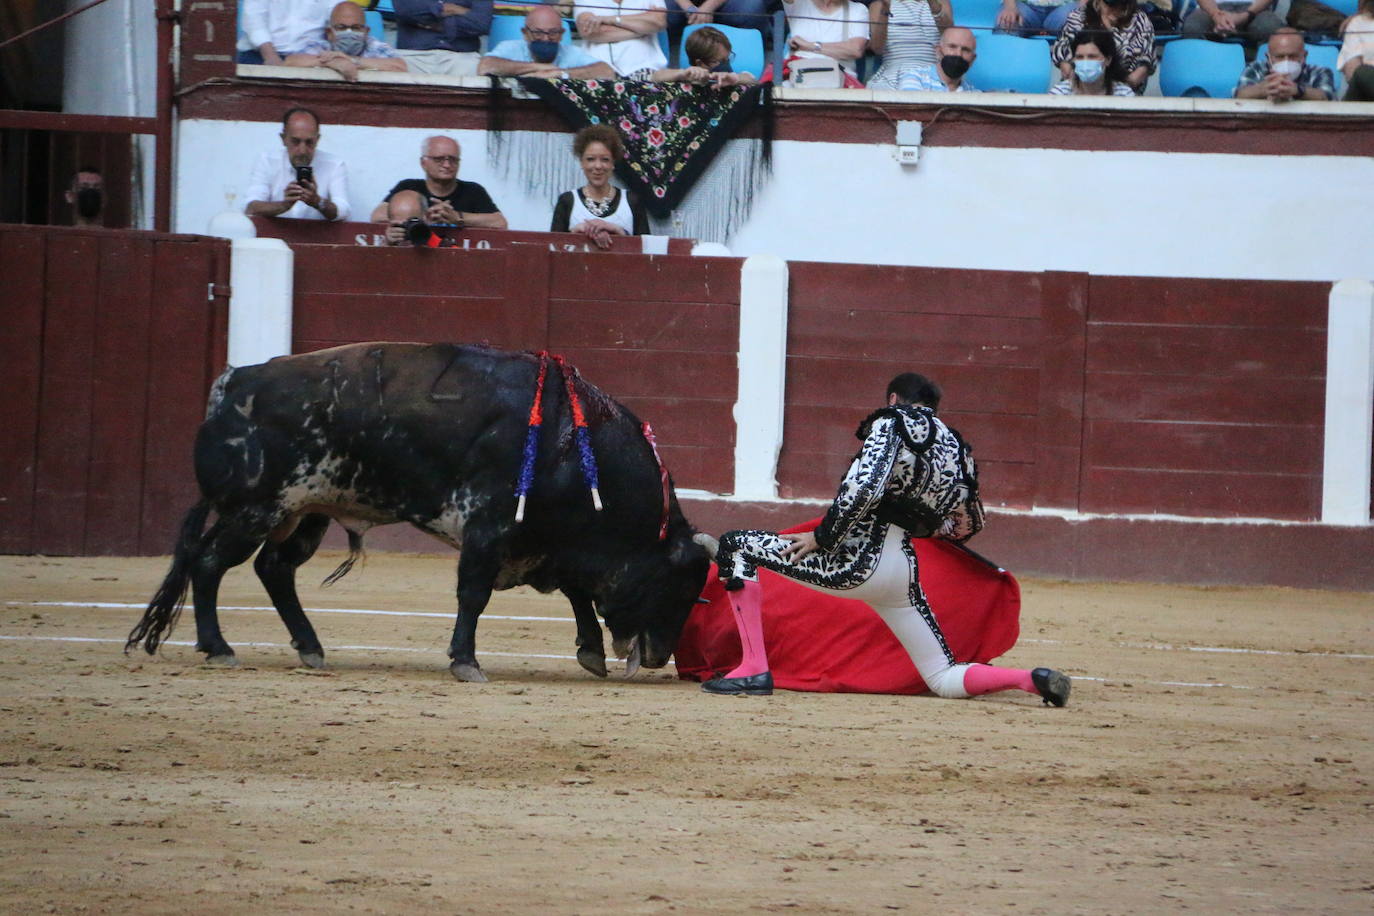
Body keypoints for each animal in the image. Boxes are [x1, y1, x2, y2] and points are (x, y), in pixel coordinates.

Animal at [126, 343, 719, 681]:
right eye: (676, 588)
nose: (661, 656)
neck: (571, 444)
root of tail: (233, 383)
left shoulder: (546, 542)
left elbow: (576, 593)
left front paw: (590, 653)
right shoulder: (489, 529)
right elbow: (474, 595)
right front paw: (466, 662)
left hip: (307, 509)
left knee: (274, 569)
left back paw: (311, 649)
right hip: (254, 509)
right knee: (209, 563)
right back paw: (219, 648)